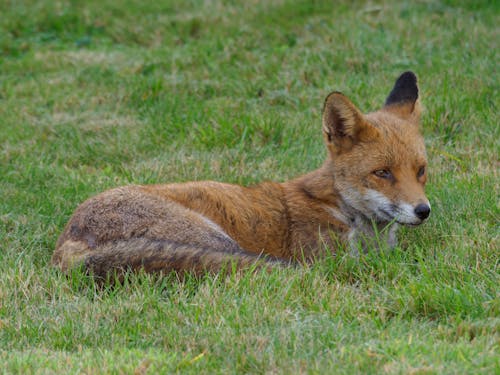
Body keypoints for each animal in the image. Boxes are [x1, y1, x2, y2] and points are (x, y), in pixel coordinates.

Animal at [53, 72, 430, 280]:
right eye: (382, 173)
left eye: (421, 171)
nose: (423, 211)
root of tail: (66, 242)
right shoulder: (333, 258)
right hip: (216, 241)